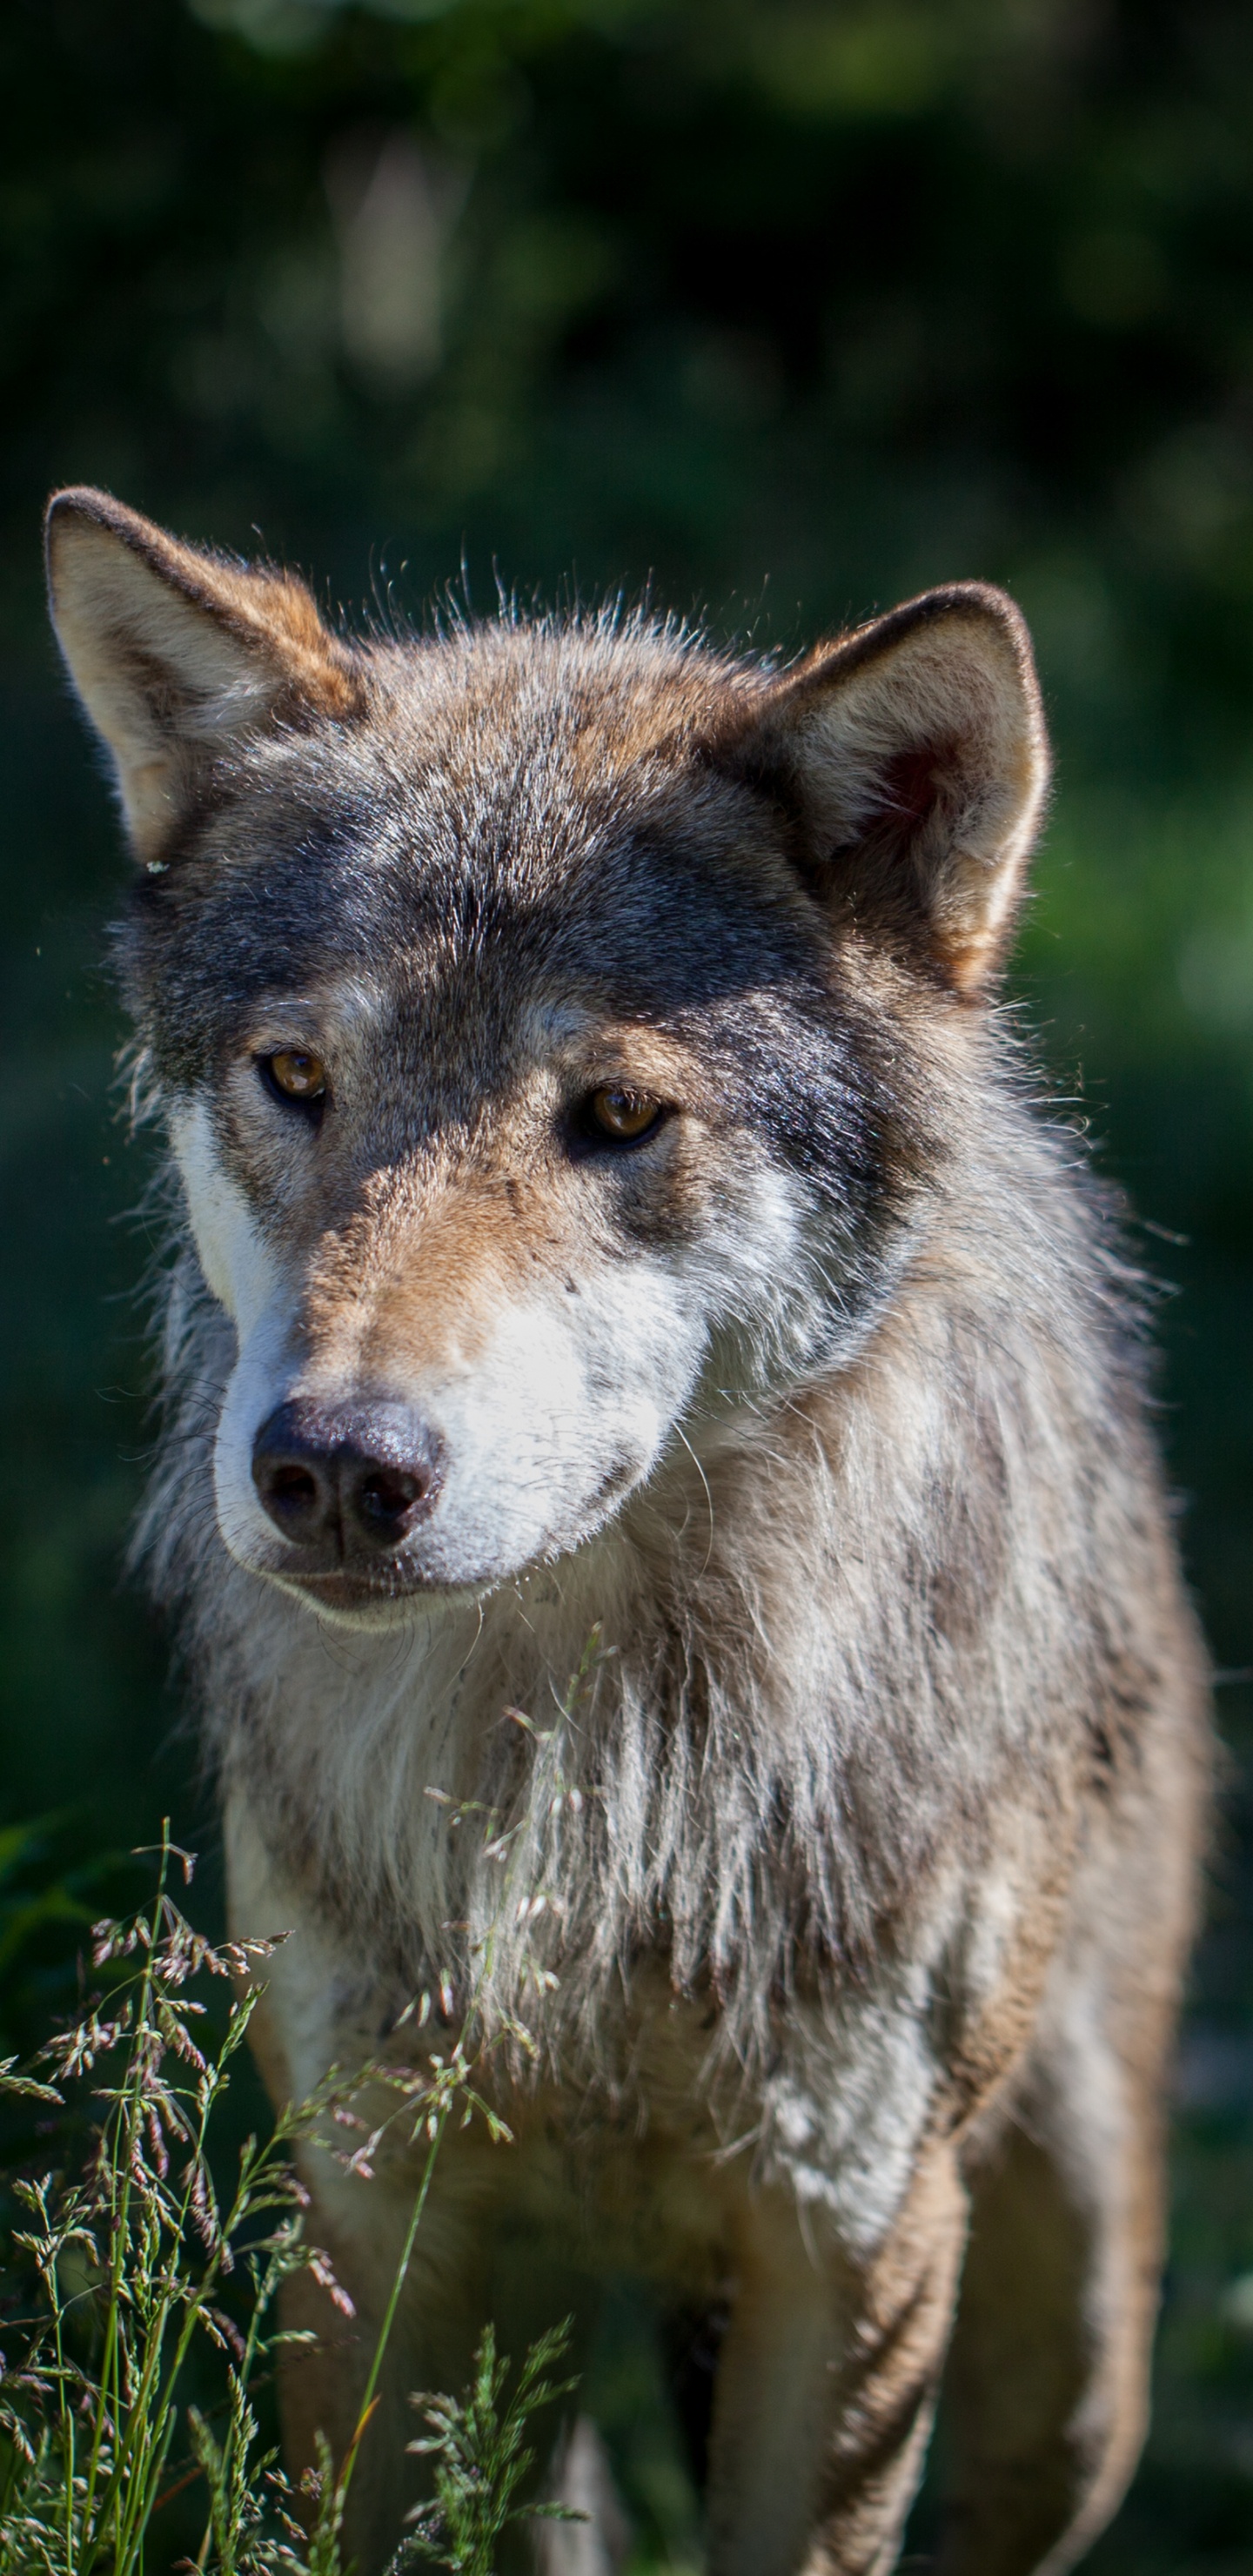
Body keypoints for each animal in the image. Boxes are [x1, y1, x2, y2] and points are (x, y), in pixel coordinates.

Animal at [44, 486, 1206, 2576]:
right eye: (296, 1078)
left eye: (613, 1115)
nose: (336, 1465)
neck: (597, 1779)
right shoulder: (380, 2225)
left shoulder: (851, 2239)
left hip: (1069, 2352)